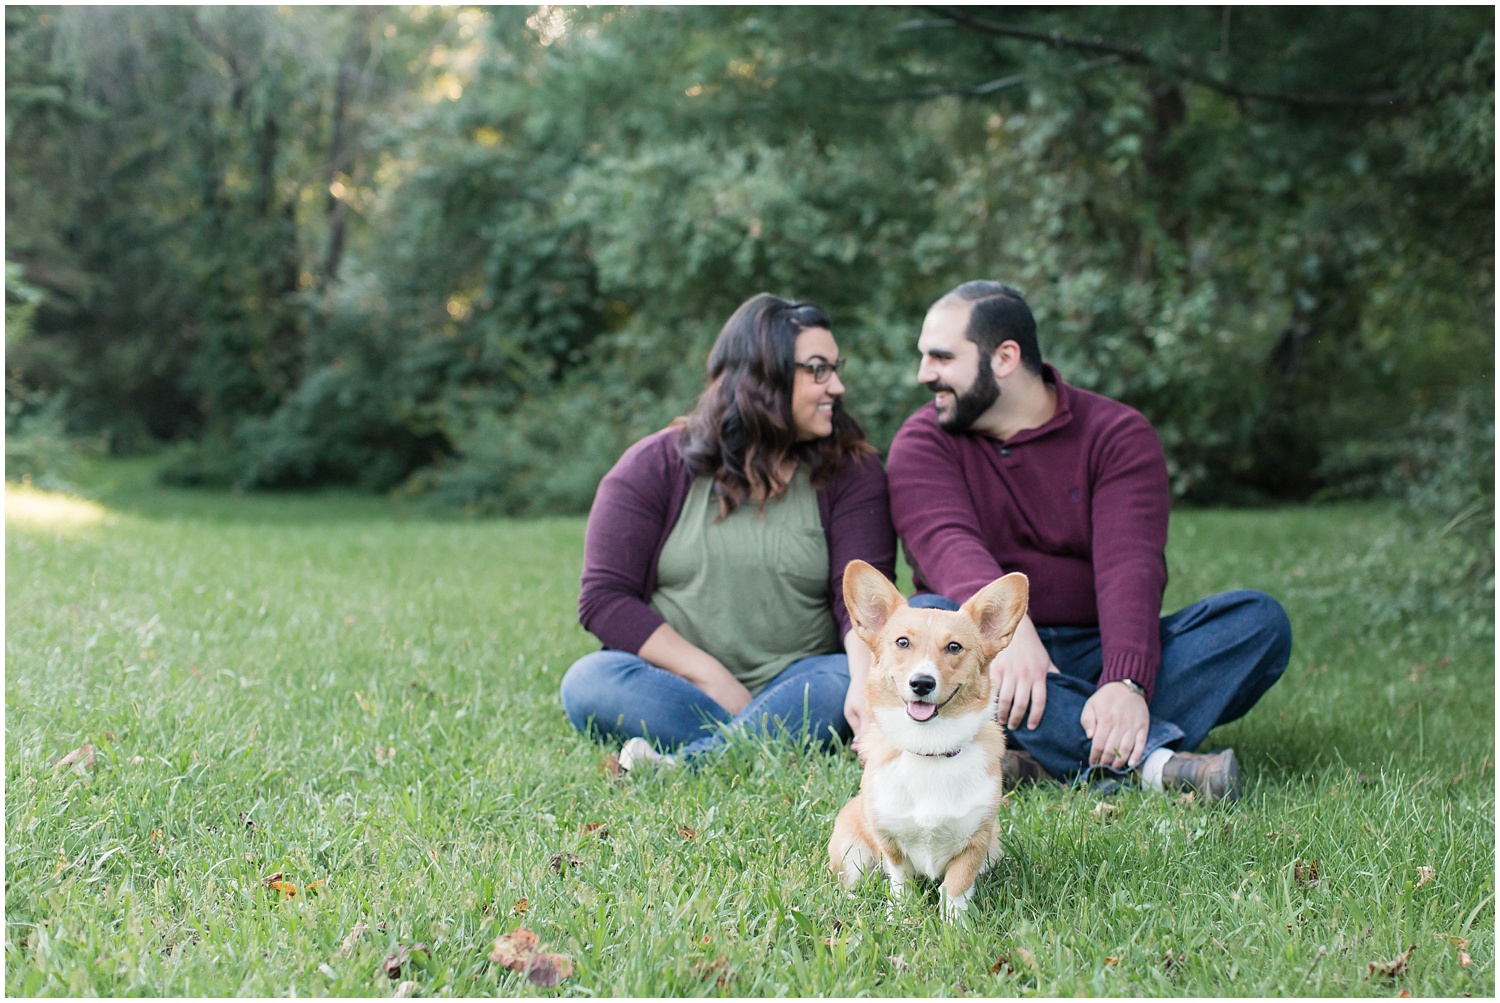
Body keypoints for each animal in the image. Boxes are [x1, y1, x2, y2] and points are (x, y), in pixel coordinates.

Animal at [834, 560, 1032, 917]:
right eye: (902, 643)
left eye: (954, 647)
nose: (922, 683)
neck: (930, 750)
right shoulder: (890, 839)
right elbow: (901, 880)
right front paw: (900, 915)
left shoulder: (976, 840)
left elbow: (955, 887)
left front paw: (956, 924)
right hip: (851, 851)